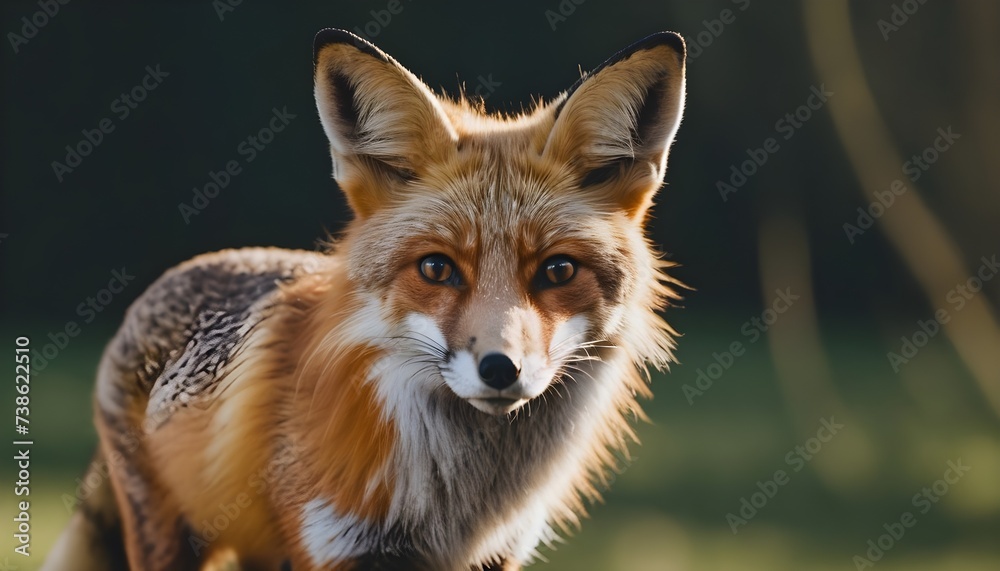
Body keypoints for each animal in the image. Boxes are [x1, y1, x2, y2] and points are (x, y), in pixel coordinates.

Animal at [43, 28, 687, 571]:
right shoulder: (336, 546)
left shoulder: (497, 555)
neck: (456, 511)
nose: (501, 369)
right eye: (436, 268)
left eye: (558, 270)